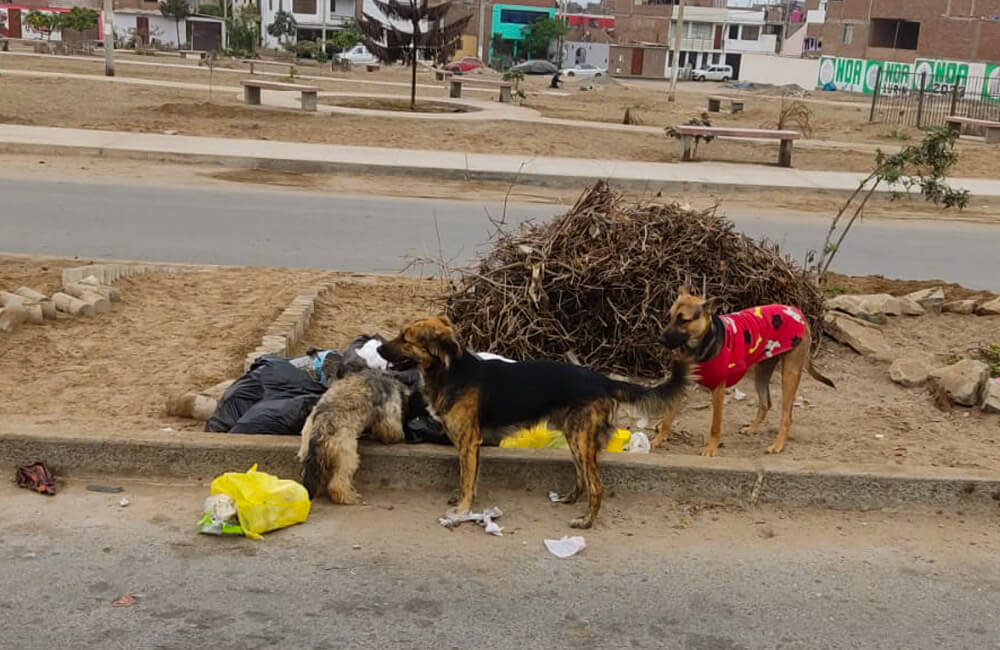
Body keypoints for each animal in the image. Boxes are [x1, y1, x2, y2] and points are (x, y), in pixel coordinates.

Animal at [376, 314, 688, 528]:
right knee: (582, 477)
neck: (452, 371)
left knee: (596, 486)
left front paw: (462, 511)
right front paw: (463, 501)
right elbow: (469, 478)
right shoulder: (472, 446)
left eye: (406, 338)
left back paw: (586, 521)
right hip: (575, 437)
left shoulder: (467, 443)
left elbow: (466, 479)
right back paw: (569, 499)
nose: (378, 350)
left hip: (580, 438)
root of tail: (602, 379)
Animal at [652, 286, 832, 458]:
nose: (660, 340)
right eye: (670, 316)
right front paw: (659, 438)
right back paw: (752, 428)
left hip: (789, 374)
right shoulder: (682, 383)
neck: (699, 345)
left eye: (683, 320)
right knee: (765, 403)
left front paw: (711, 448)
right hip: (761, 372)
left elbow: (715, 425)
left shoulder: (718, 390)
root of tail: (797, 312)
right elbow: (668, 417)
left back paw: (778, 445)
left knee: (787, 417)